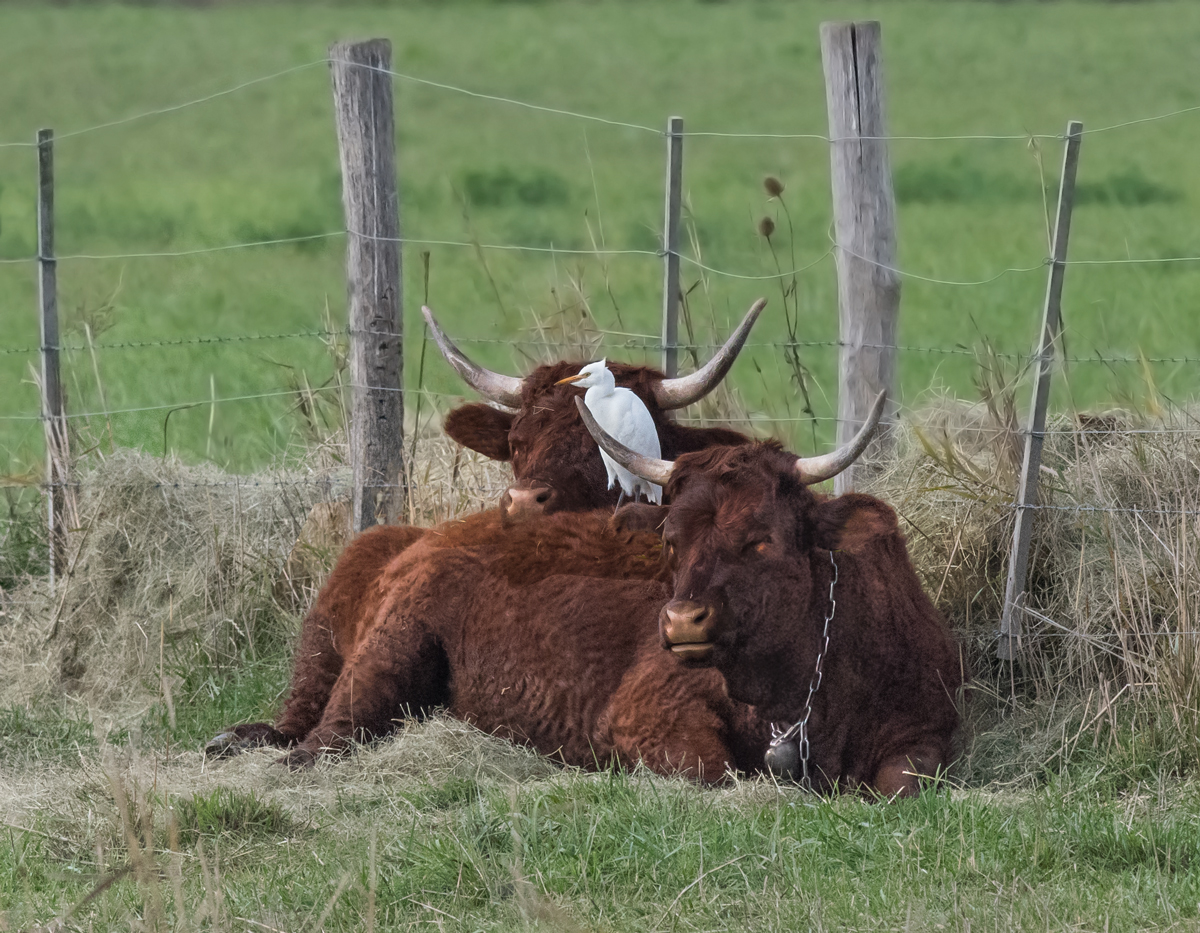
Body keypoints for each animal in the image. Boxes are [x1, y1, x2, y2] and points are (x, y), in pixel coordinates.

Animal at [576, 393, 964, 797]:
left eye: (762, 541)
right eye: (671, 542)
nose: (682, 621)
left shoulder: (924, 731)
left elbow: (901, 783)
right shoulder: (646, 712)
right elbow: (710, 768)